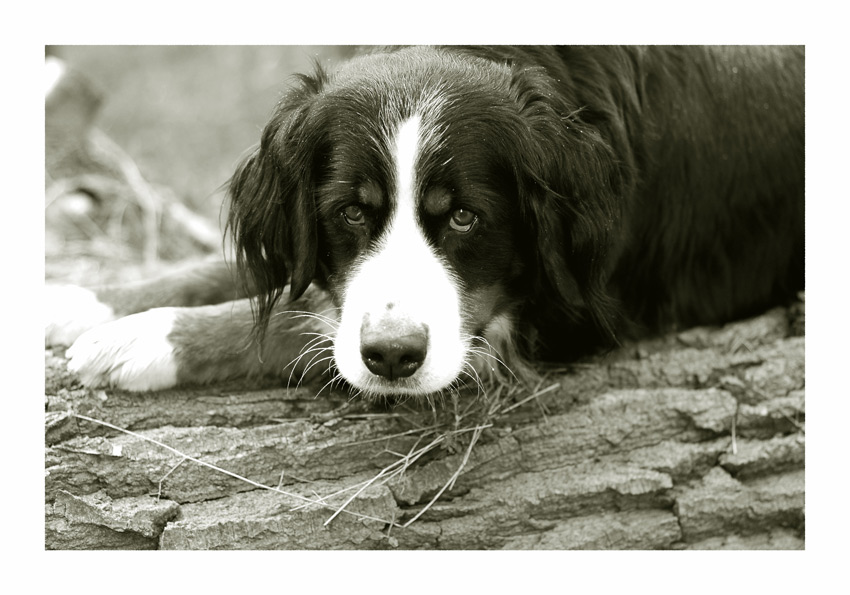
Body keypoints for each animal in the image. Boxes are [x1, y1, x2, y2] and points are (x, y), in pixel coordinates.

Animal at [44, 46, 800, 400]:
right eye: (351, 210)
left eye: (465, 216)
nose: (393, 357)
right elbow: (243, 273)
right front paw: (83, 301)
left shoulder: (562, 313)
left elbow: (298, 321)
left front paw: (142, 339)